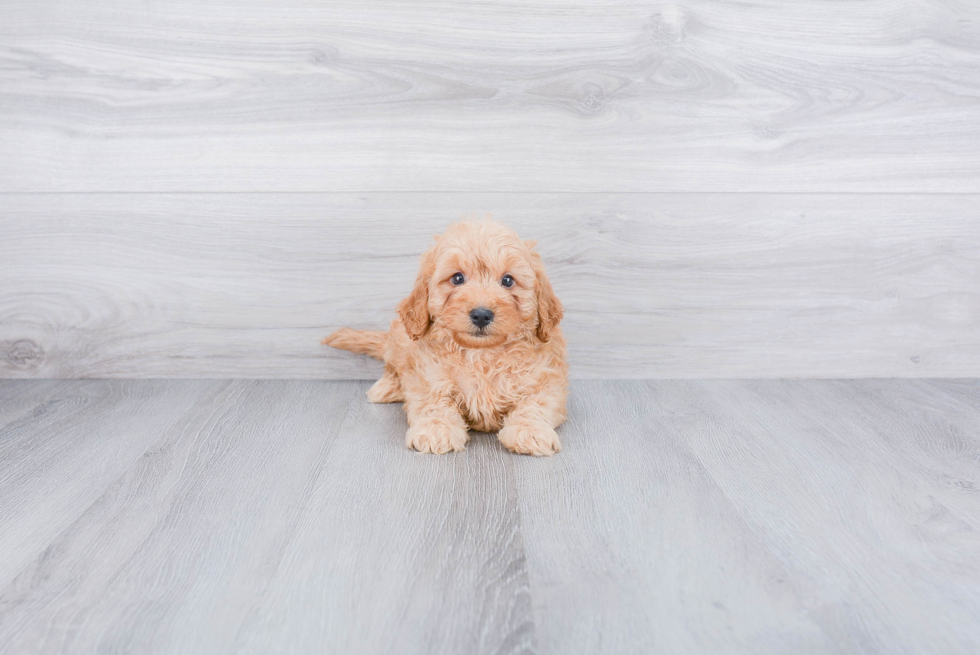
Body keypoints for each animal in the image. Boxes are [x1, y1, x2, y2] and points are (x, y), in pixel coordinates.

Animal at [322, 220, 568, 456]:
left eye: (508, 280)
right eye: (457, 278)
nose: (481, 314)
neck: (482, 353)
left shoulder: (547, 382)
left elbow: (534, 404)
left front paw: (530, 431)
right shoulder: (426, 379)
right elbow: (435, 403)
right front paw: (436, 429)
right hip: (400, 337)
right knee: (393, 366)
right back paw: (385, 389)